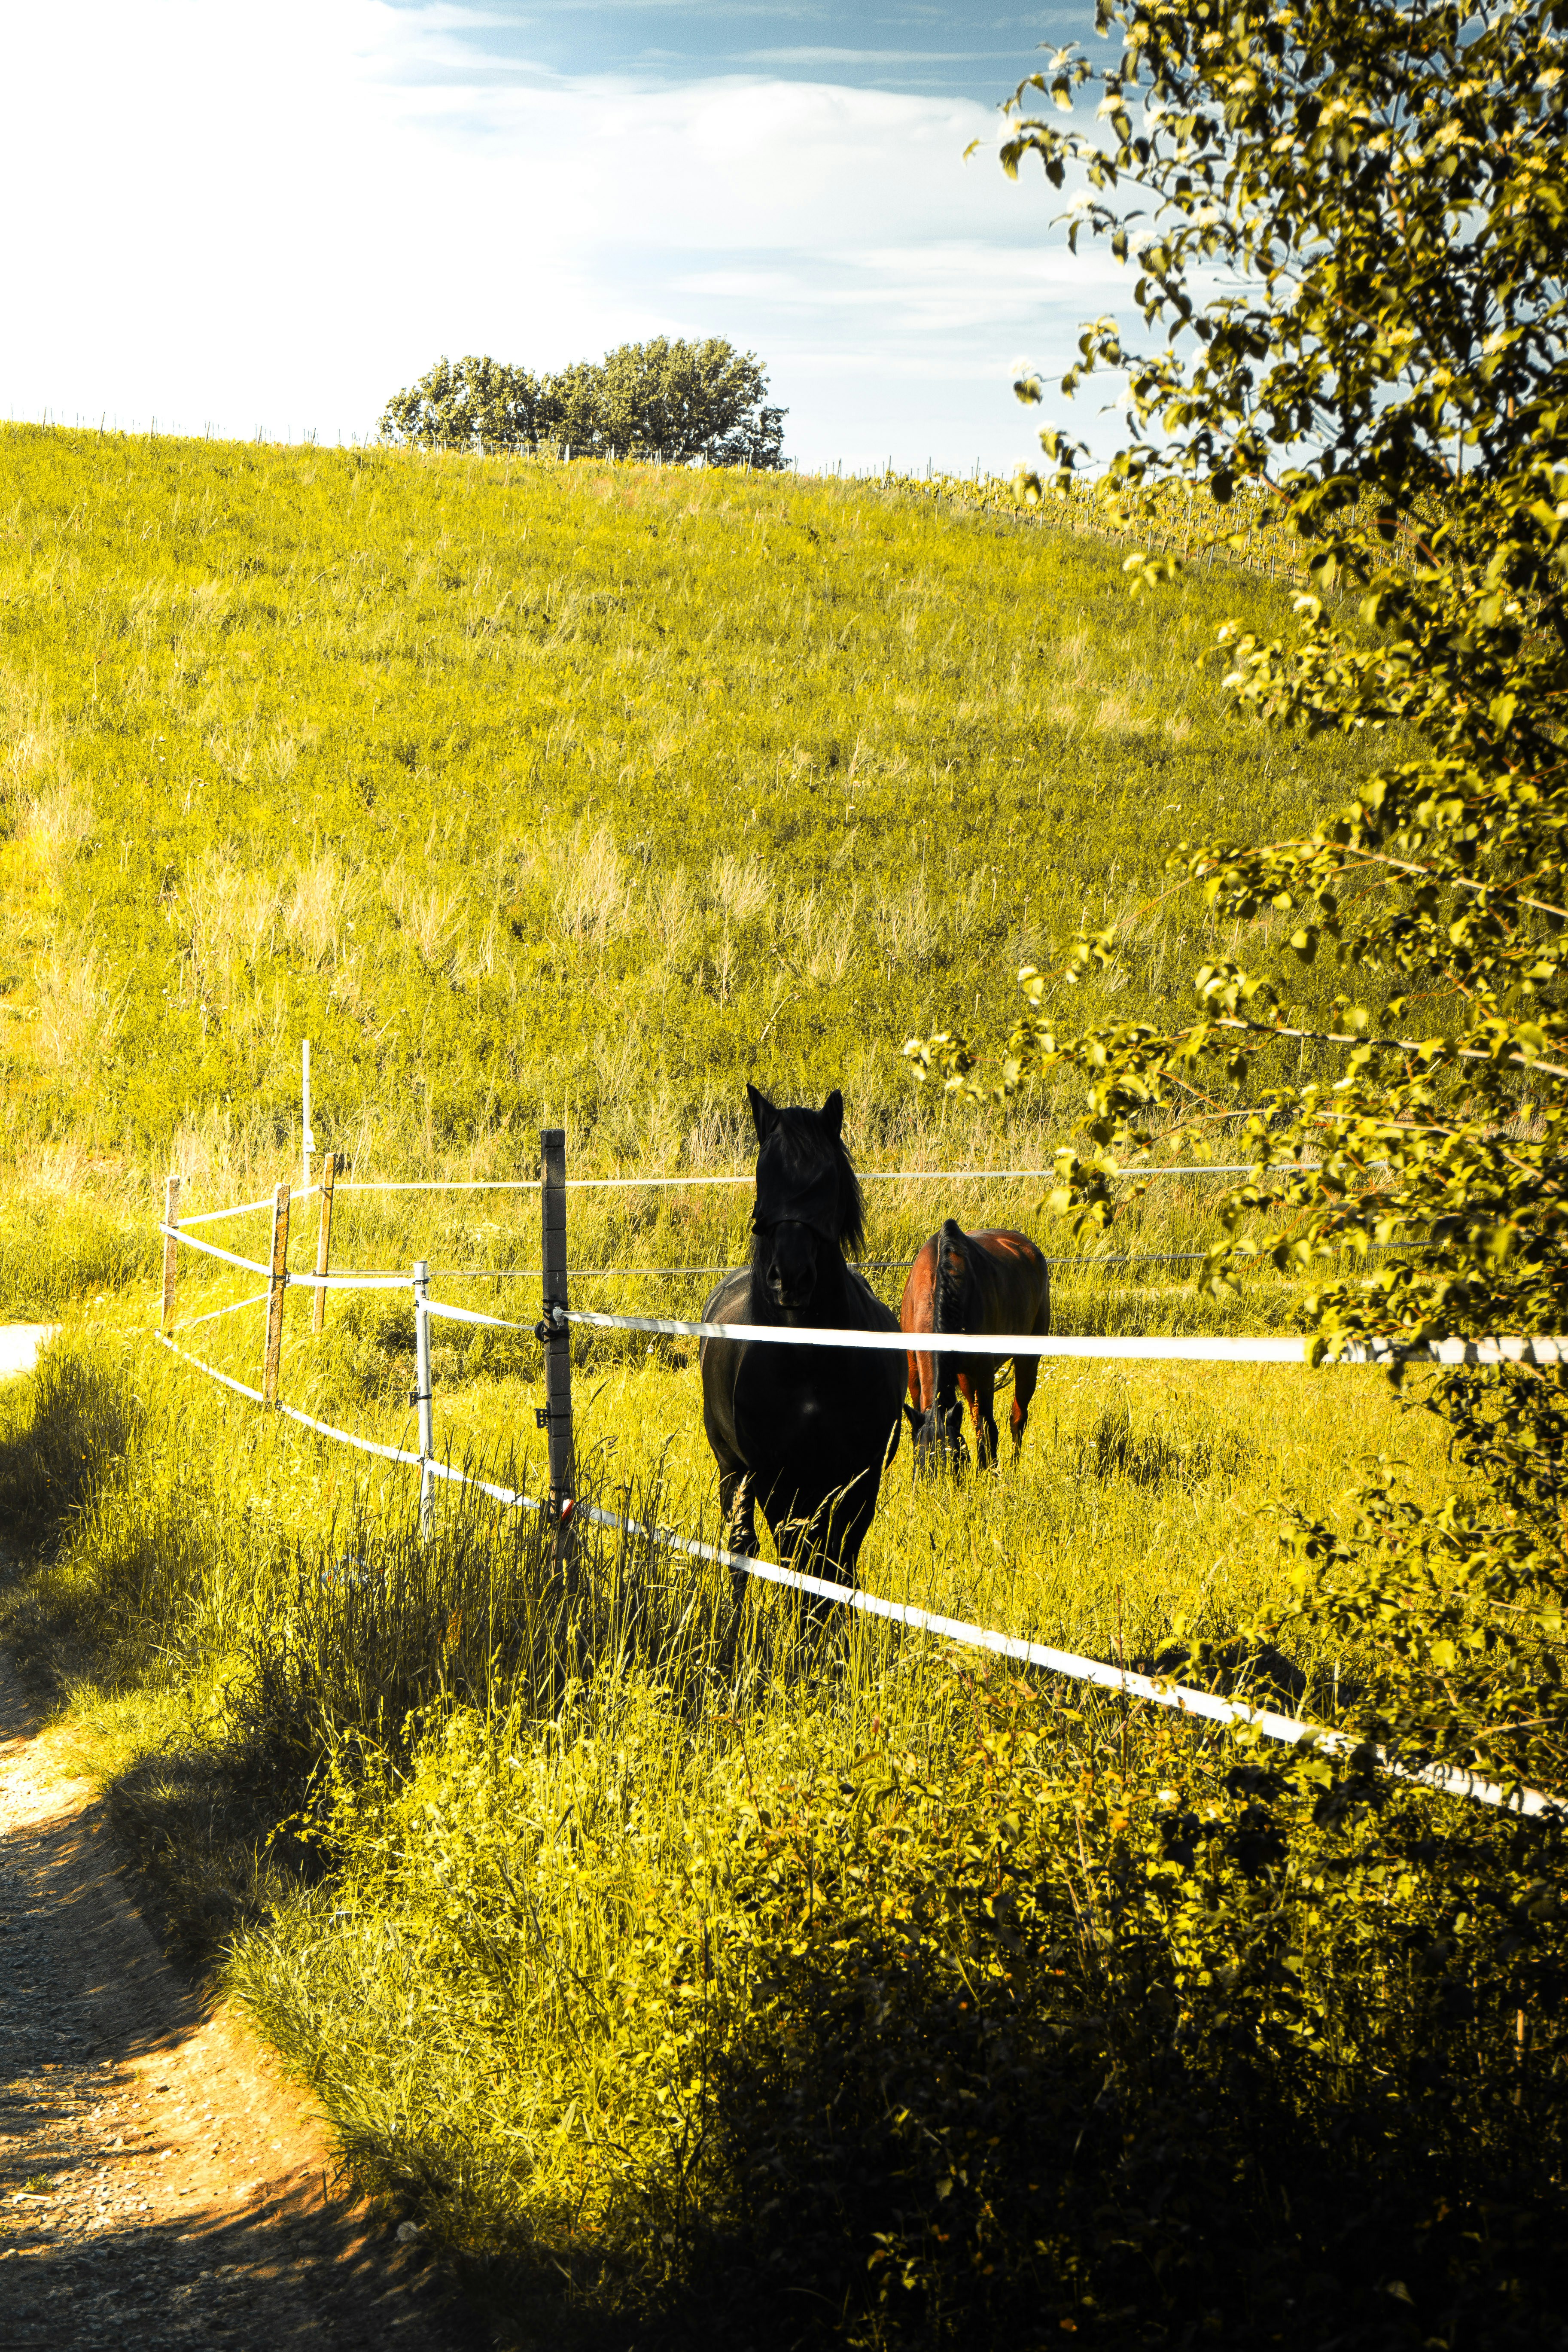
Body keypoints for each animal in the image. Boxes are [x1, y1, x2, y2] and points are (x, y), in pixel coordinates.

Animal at [700, 1084, 904, 1596]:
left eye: (828, 1178)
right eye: (763, 1172)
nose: (790, 1277)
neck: (807, 1357)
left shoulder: (859, 1479)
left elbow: (837, 1566)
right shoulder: (777, 1479)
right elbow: (799, 1561)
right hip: (733, 1470)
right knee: (743, 1546)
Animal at [900, 1219, 1051, 1471]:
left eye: (954, 1462)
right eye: (919, 1468)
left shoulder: (981, 1371)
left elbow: (988, 1427)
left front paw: (989, 1472)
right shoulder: (914, 1370)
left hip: (1027, 1360)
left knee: (1017, 1416)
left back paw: (1014, 1465)